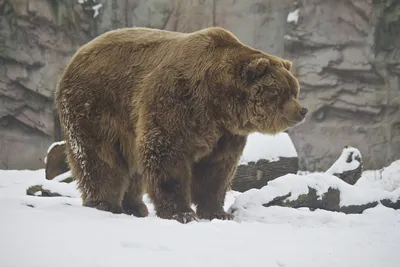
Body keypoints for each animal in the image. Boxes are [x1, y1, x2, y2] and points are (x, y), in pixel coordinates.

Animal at [54, 27, 308, 224]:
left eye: (294, 90)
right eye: (281, 92)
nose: (302, 110)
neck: (218, 103)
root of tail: (77, 54)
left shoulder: (224, 133)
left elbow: (217, 169)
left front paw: (217, 212)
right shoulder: (177, 100)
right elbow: (168, 155)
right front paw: (182, 213)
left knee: (132, 166)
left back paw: (135, 206)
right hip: (96, 105)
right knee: (99, 158)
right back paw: (103, 203)